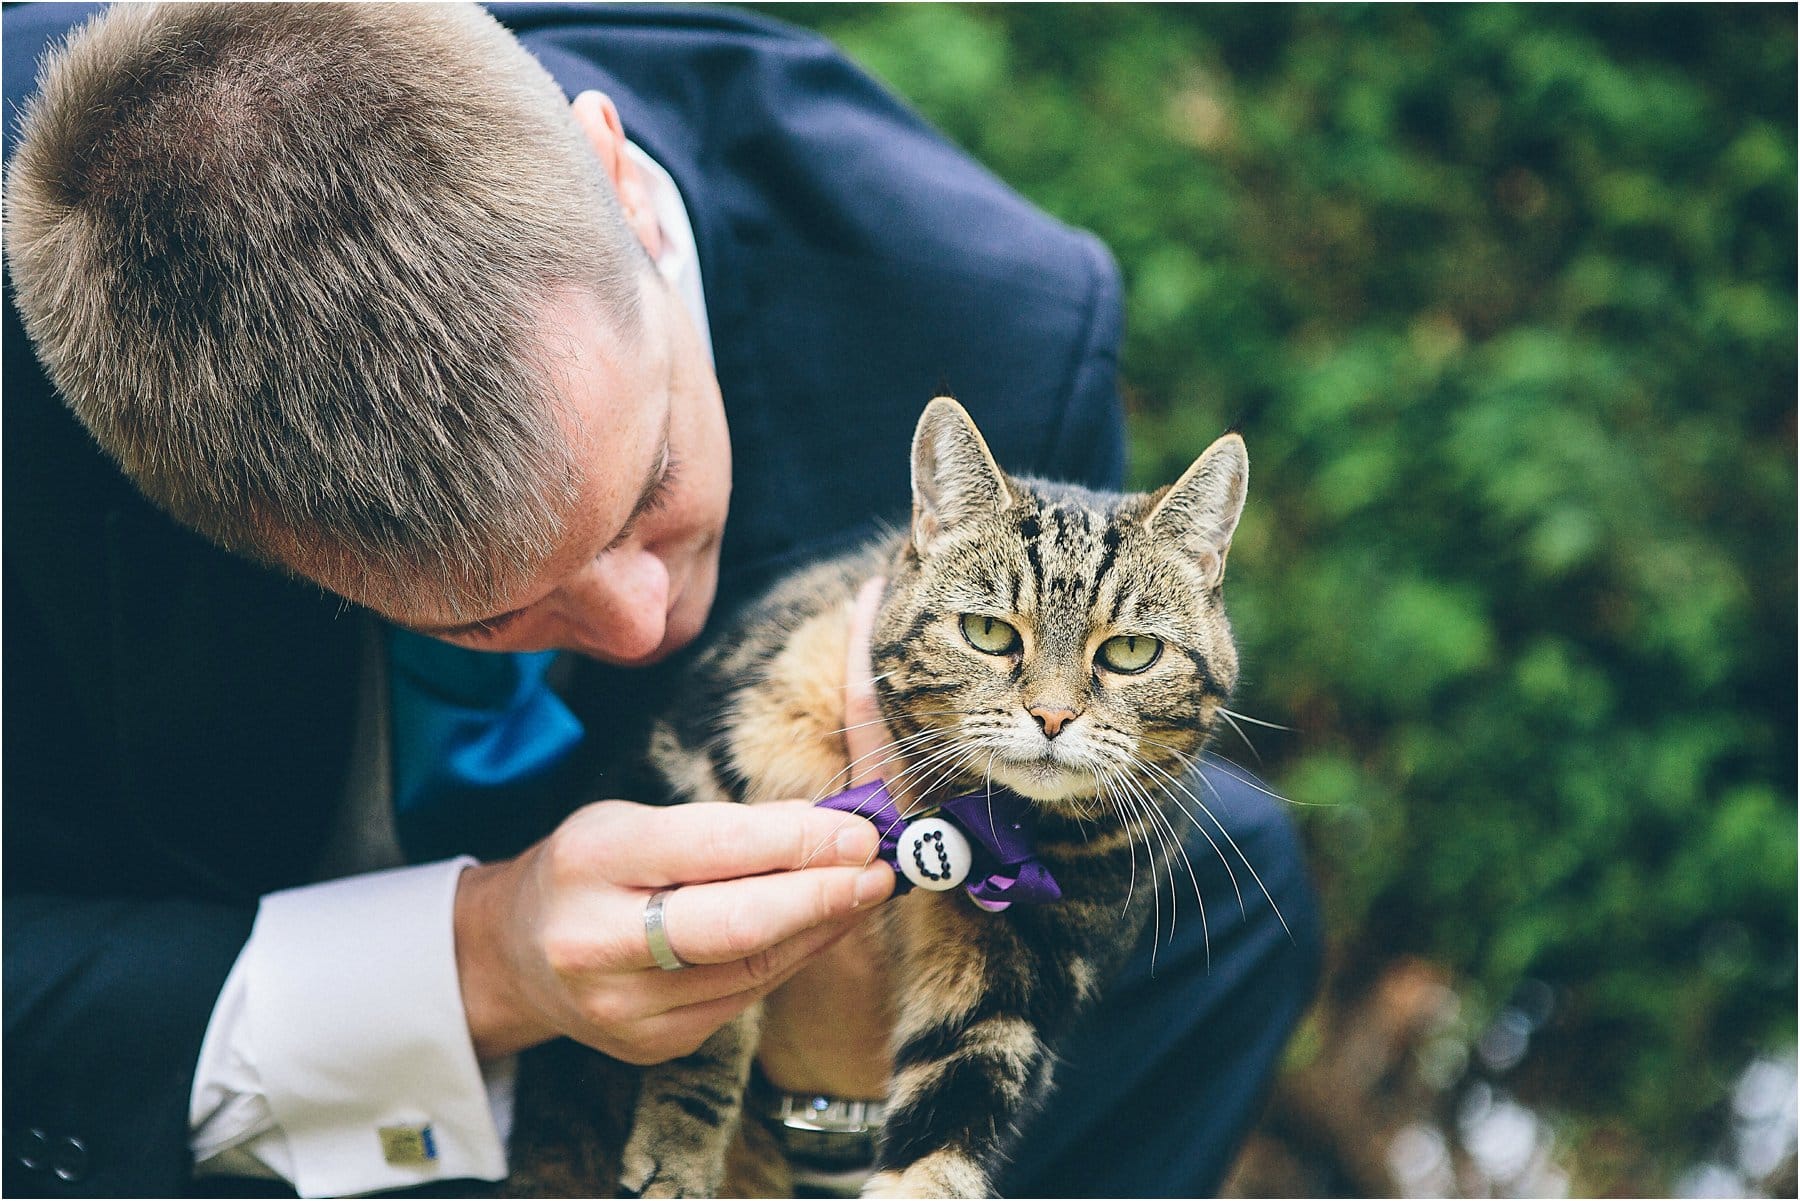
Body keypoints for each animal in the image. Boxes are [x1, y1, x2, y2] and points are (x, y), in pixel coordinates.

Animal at [500, 396, 1245, 1195]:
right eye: (988, 632)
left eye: (1131, 651)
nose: (1051, 716)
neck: (972, 814)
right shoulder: (692, 782)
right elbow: (712, 1018)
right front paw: (680, 1150)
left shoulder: (1013, 987)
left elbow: (944, 1141)